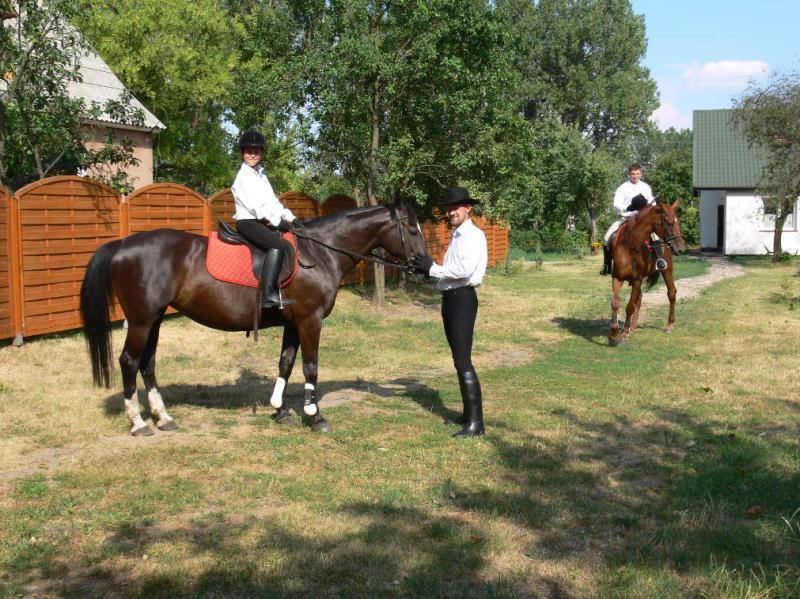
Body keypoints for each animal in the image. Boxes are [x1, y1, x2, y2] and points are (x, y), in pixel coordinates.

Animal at [80, 202, 428, 436]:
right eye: (412, 230)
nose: (424, 266)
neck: (319, 254)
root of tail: (123, 244)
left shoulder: (293, 323)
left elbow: (285, 363)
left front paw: (280, 410)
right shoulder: (310, 319)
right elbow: (310, 367)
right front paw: (314, 415)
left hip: (154, 320)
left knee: (147, 363)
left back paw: (164, 418)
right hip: (141, 321)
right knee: (129, 361)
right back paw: (139, 422)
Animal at [608, 199, 684, 344]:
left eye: (678, 222)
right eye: (669, 222)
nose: (681, 248)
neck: (630, 245)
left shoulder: (637, 280)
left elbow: (629, 306)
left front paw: (624, 333)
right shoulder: (617, 277)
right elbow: (615, 303)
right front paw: (614, 333)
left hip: (667, 271)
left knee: (671, 293)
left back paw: (670, 324)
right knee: (640, 298)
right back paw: (633, 325)